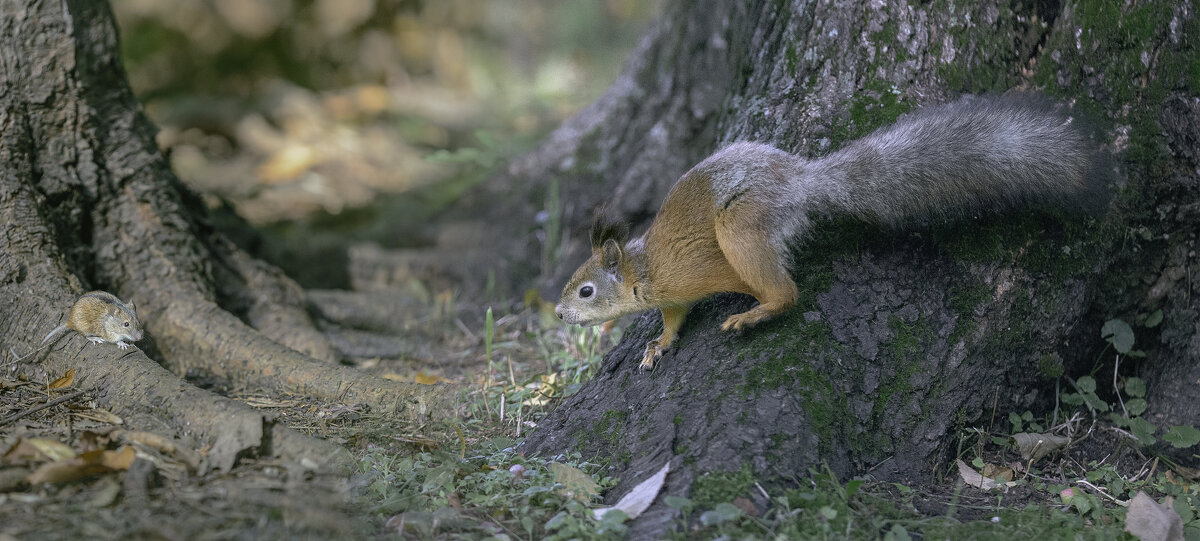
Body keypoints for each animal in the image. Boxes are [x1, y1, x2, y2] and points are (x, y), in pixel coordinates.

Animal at [7, 292, 144, 364]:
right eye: (126, 324)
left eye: (138, 321)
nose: (140, 338)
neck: (109, 320)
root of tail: (70, 322)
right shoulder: (108, 333)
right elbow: (116, 340)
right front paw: (123, 344)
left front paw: (133, 344)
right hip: (85, 327)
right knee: (84, 335)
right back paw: (95, 339)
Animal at [556, 94, 1108, 371]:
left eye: (586, 291)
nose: (560, 314)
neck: (643, 270)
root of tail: (801, 183)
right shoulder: (673, 299)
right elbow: (672, 322)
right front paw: (659, 345)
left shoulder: (692, 272)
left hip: (741, 227)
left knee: (785, 292)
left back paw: (756, 314)